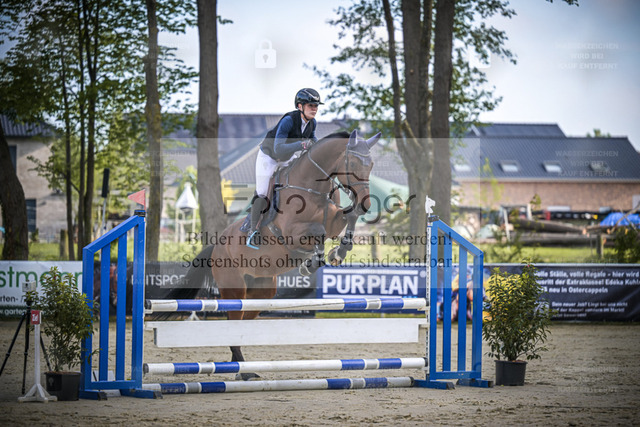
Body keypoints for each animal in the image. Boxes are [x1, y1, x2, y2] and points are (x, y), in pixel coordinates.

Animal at [167, 129, 381, 379]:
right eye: (353, 162)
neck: (313, 187)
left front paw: (339, 251)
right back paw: (242, 371)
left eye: (371, 164)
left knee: (242, 321)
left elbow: (349, 217)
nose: (366, 203)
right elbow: (318, 230)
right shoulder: (291, 232)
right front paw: (312, 261)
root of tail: (216, 247)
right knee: (233, 319)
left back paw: (241, 368)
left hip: (261, 291)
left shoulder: (335, 221)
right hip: (234, 287)